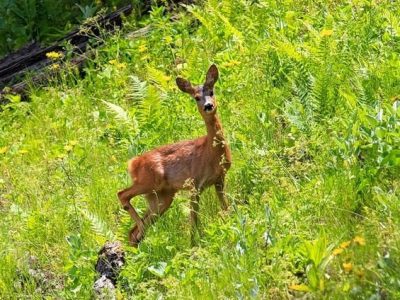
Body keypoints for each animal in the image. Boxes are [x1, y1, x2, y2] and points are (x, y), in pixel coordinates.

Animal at [116, 63, 231, 246]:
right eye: (196, 97)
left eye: (211, 91)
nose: (208, 106)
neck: (213, 153)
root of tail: (132, 163)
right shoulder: (195, 183)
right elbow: (194, 220)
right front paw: (194, 244)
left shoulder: (219, 179)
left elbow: (225, 207)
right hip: (150, 181)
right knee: (122, 194)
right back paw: (141, 230)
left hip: (161, 198)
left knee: (132, 232)